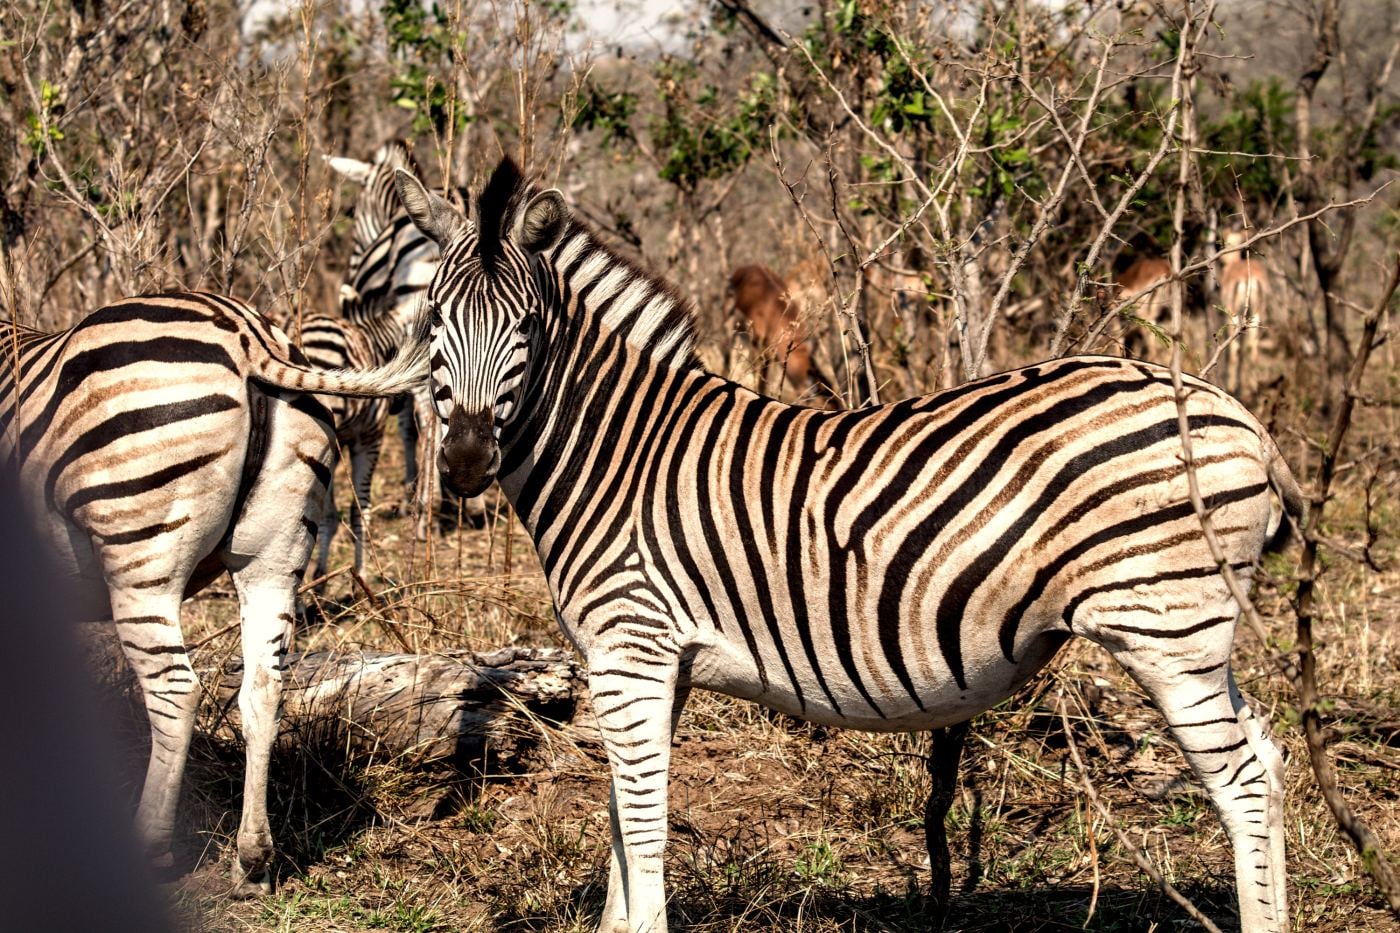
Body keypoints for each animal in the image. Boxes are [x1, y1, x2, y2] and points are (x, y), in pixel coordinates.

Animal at [0, 291, 426, 895]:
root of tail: (249, 337)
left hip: (140, 550)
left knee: (176, 691)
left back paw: (152, 849)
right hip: (273, 556)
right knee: (265, 688)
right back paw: (253, 858)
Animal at [394, 158, 1300, 933]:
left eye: (526, 326)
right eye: (434, 320)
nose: (465, 462)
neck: (619, 449)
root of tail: (1240, 414)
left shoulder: (633, 647)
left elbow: (642, 821)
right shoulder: (655, 664)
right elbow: (622, 817)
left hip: (1166, 632)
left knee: (1243, 783)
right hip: (1197, 635)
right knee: (1266, 753)